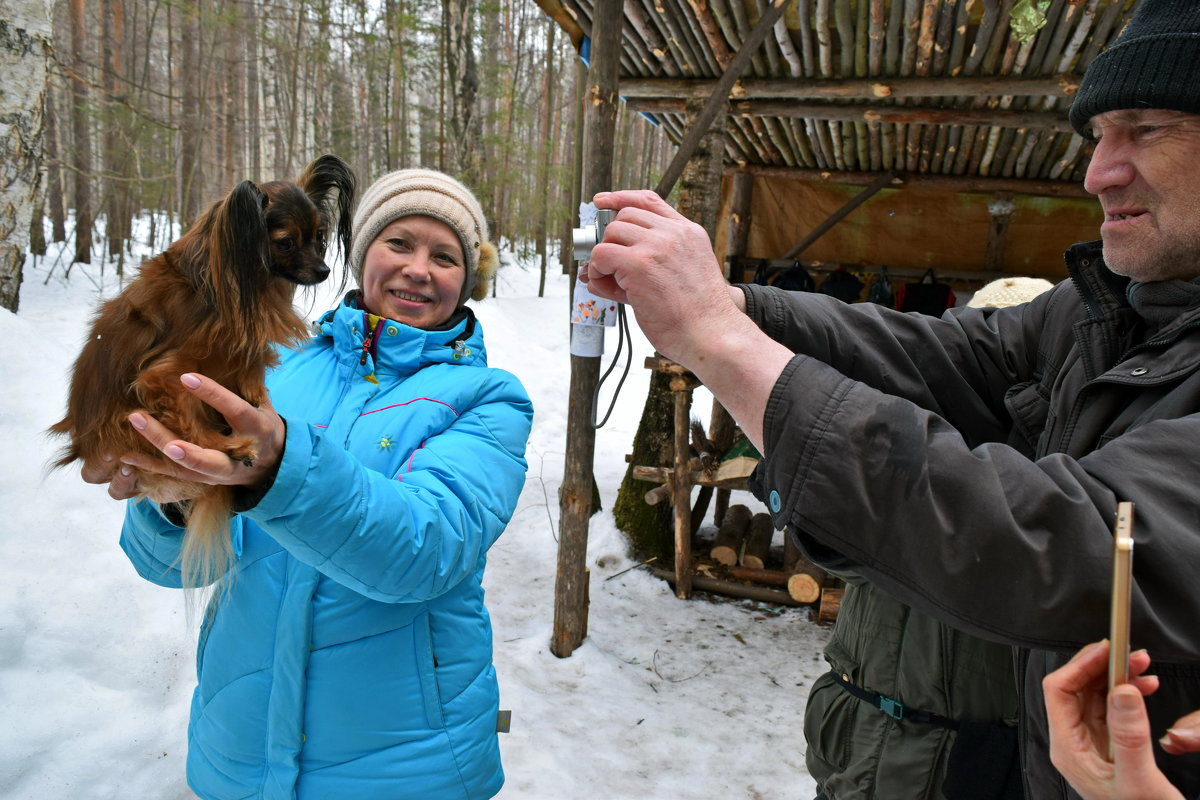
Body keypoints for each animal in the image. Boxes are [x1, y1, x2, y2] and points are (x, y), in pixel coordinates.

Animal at [51, 154, 355, 587]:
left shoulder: (242, 360)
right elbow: (191, 422)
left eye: (320, 238)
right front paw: (224, 446)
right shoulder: (167, 375)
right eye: (285, 242)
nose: (323, 272)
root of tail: (82, 445)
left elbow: (252, 384)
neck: (241, 281)